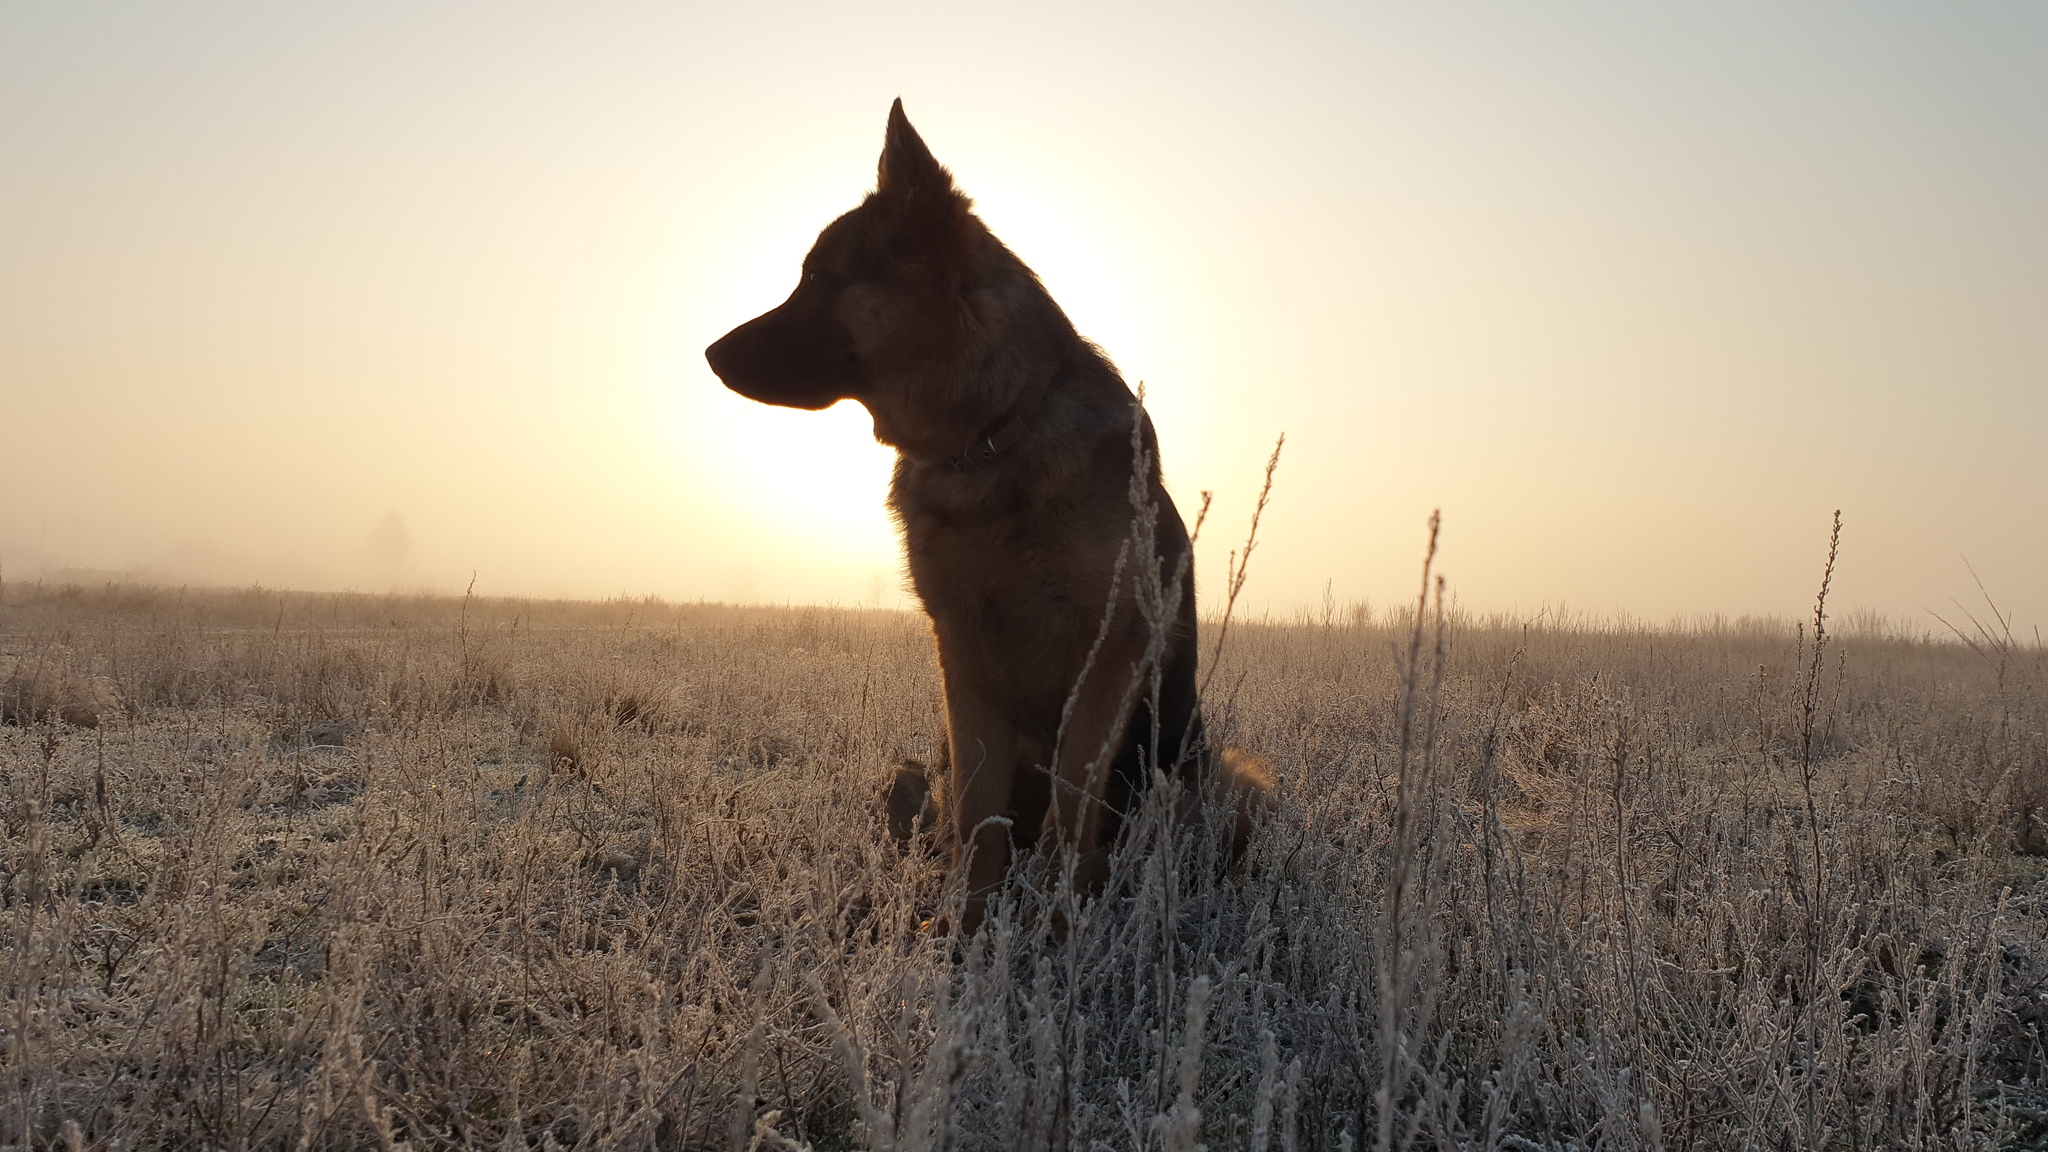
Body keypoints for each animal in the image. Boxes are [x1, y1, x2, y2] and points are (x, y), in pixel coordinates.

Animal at [712, 98, 1269, 922]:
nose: (709, 355)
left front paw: (1068, 929)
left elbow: (1075, 809)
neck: (991, 438)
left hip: (1229, 781)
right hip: (918, 766)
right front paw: (968, 927)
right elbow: (980, 818)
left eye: (818, 277)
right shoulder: (963, 658)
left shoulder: (1109, 655)